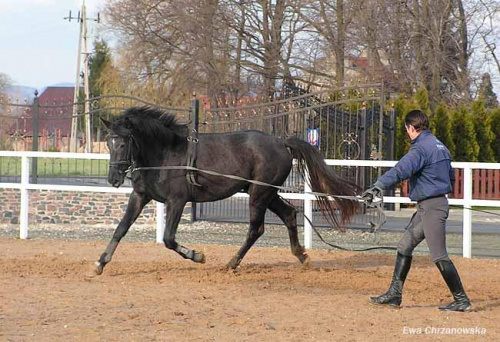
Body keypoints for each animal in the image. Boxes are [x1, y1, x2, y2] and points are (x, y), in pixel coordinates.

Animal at [95, 107, 360, 276]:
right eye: (108, 142)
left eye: (123, 143)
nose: (113, 179)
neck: (165, 154)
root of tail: (280, 142)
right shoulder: (140, 196)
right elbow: (121, 229)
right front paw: (101, 262)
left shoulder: (177, 201)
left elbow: (169, 239)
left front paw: (198, 256)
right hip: (266, 193)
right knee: (288, 215)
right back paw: (301, 255)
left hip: (259, 194)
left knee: (256, 229)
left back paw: (232, 263)